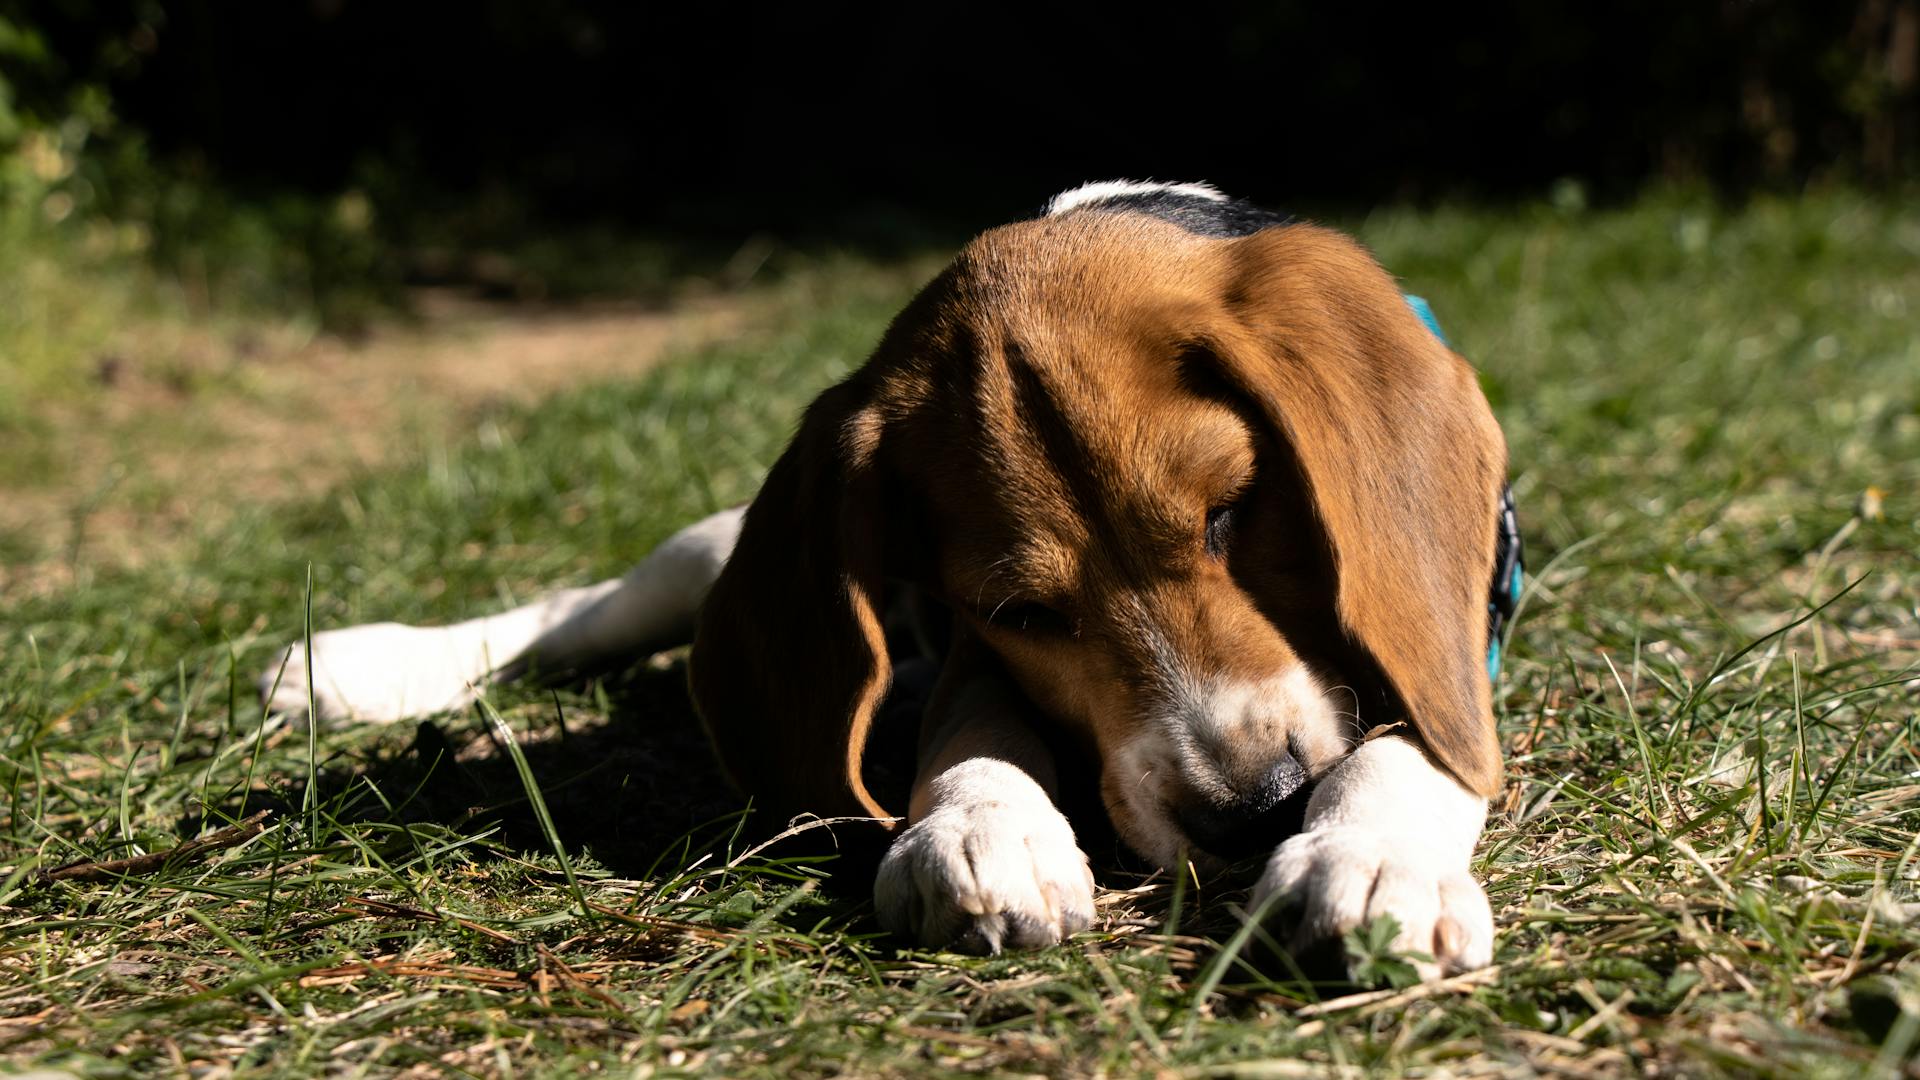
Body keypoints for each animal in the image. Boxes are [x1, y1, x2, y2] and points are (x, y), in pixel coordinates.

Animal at [263, 178, 1520, 976]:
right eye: (1022, 611)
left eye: (1230, 515)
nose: (1254, 812)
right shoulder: (966, 647)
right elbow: (968, 731)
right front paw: (981, 827)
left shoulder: (1449, 636)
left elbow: (1423, 740)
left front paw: (1369, 859)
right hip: (715, 559)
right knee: (583, 610)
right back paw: (358, 666)